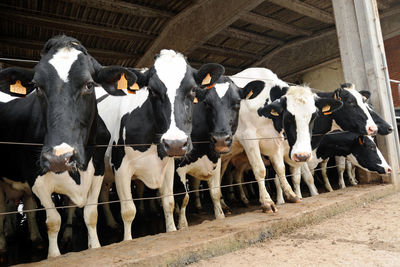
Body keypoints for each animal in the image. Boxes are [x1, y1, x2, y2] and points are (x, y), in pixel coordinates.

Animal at [0, 35, 138, 258]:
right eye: (37, 86)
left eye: (89, 85)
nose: (59, 158)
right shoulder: (35, 177)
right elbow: (53, 221)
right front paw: (54, 256)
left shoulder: (97, 170)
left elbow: (91, 214)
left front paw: (94, 246)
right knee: (4, 211)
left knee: (27, 206)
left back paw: (35, 239)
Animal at [95, 49, 223, 242]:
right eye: (152, 90)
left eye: (193, 89)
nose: (175, 144)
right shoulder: (121, 169)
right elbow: (128, 211)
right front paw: (127, 240)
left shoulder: (168, 167)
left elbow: (168, 201)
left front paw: (172, 229)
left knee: (103, 194)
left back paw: (111, 223)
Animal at [173, 76, 264, 229]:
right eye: (206, 104)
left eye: (237, 103)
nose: (221, 140)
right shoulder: (178, 167)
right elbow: (183, 197)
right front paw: (182, 225)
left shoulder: (216, 161)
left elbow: (215, 191)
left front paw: (220, 215)